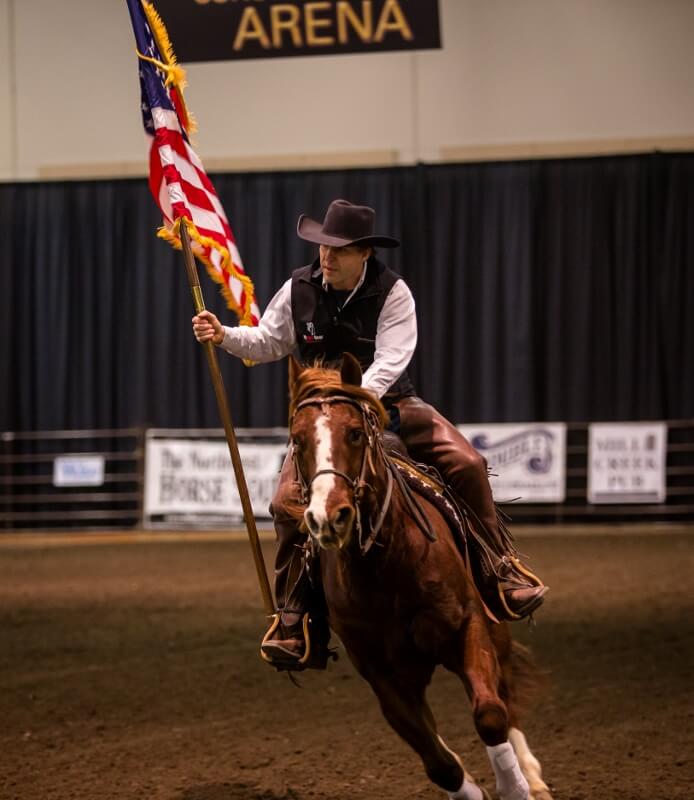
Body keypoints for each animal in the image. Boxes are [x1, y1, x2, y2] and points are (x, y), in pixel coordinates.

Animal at [282, 356, 556, 800]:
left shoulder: (468, 626)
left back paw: (532, 777)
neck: (385, 566)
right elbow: (438, 760)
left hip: (496, 623)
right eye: (297, 439)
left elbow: (490, 714)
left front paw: (515, 788)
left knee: (507, 694)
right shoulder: (381, 674)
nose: (328, 517)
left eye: (354, 433)